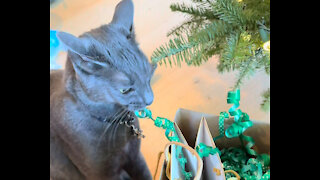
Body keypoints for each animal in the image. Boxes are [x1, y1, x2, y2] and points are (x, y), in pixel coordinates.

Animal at [49, 0, 156, 179]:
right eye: (125, 90)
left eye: (149, 75)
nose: (150, 100)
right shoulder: (103, 174)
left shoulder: (135, 157)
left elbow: (145, 174)